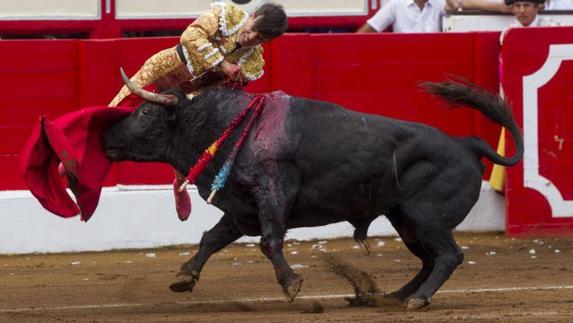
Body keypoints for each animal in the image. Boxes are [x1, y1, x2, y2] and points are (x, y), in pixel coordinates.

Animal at [103, 76, 524, 312]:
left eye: (144, 113)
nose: (107, 137)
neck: (226, 126)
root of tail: (467, 143)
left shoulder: (272, 196)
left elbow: (270, 242)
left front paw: (291, 285)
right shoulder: (242, 210)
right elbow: (211, 238)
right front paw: (184, 277)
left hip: (427, 218)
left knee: (448, 255)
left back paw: (416, 300)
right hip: (404, 220)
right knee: (429, 259)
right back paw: (391, 297)